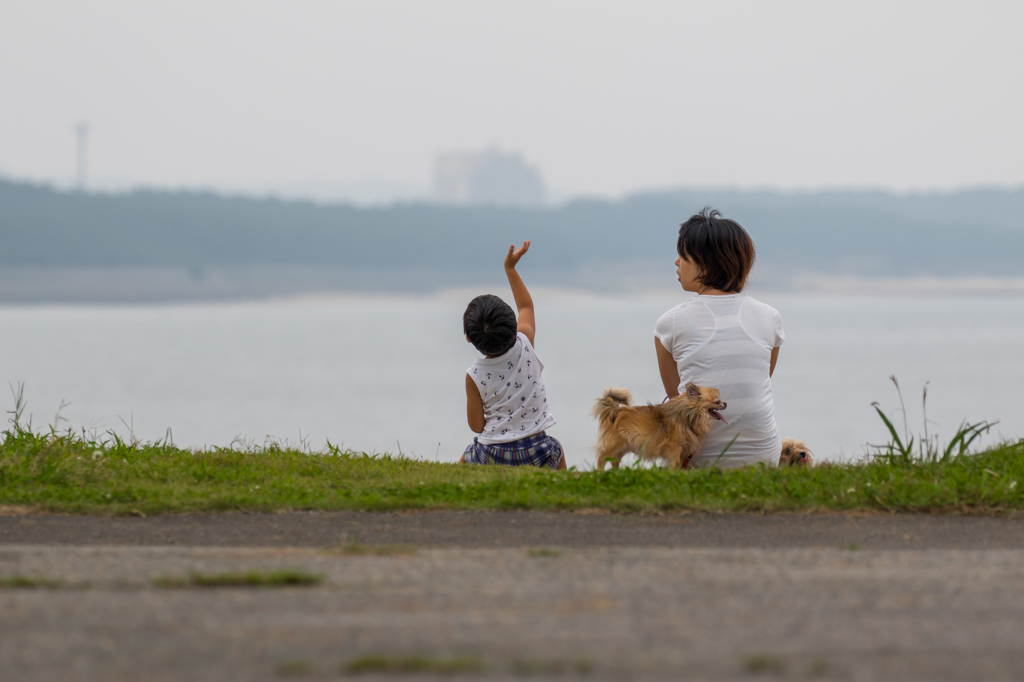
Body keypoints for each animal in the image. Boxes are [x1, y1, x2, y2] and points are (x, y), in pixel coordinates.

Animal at [593, 378, 729, 471]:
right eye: (717, 401)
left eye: (721, 400)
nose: (726, 403)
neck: (689, 415)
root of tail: (613, 411)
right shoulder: (675, 447)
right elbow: (675, 463)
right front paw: (673, 473)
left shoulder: (684, 449)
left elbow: (681, 464)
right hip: (614, 444)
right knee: (601, 458)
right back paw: (599, 472)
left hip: (623, 447)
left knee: (614, 461)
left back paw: (616, 472)